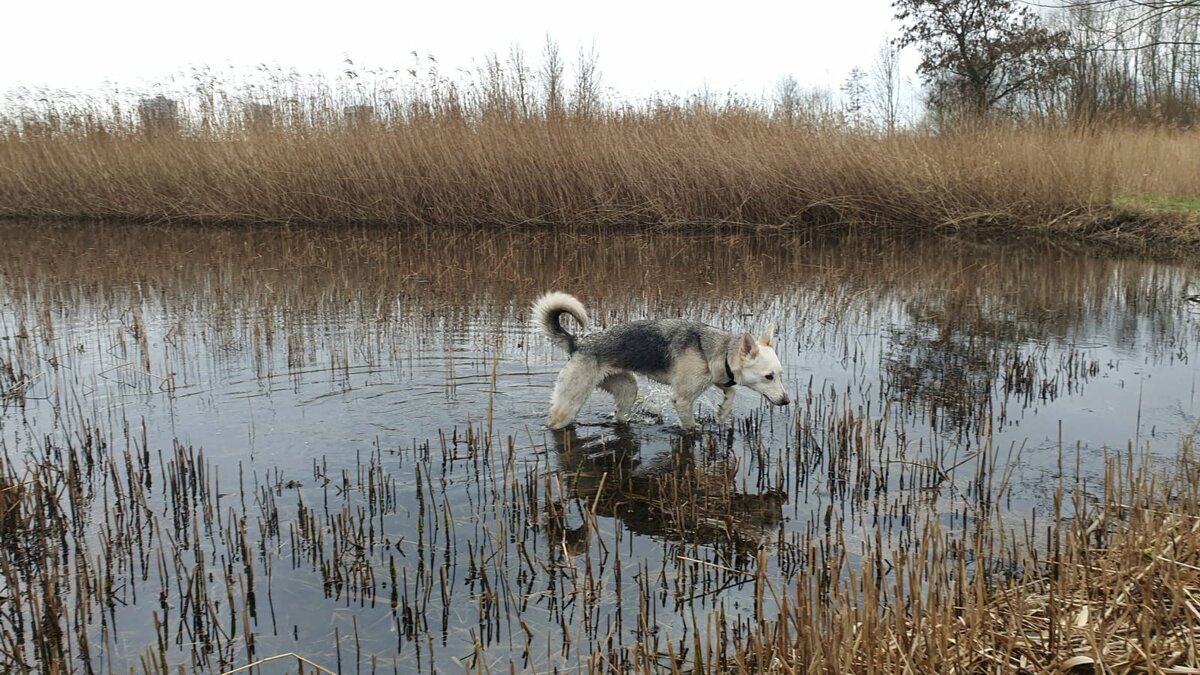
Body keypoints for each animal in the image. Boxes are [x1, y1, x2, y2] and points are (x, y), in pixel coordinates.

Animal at [532, 290, 787, 429]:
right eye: (768, 377)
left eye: (779, 375)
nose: (786, 401)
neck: (719, 350)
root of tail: (577, 344)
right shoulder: (682, 400)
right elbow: (690, 427)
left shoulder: (717, 377)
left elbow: (731, 390)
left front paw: (724, 410)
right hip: (570, 404)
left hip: (627, 389)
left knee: (621, 413)